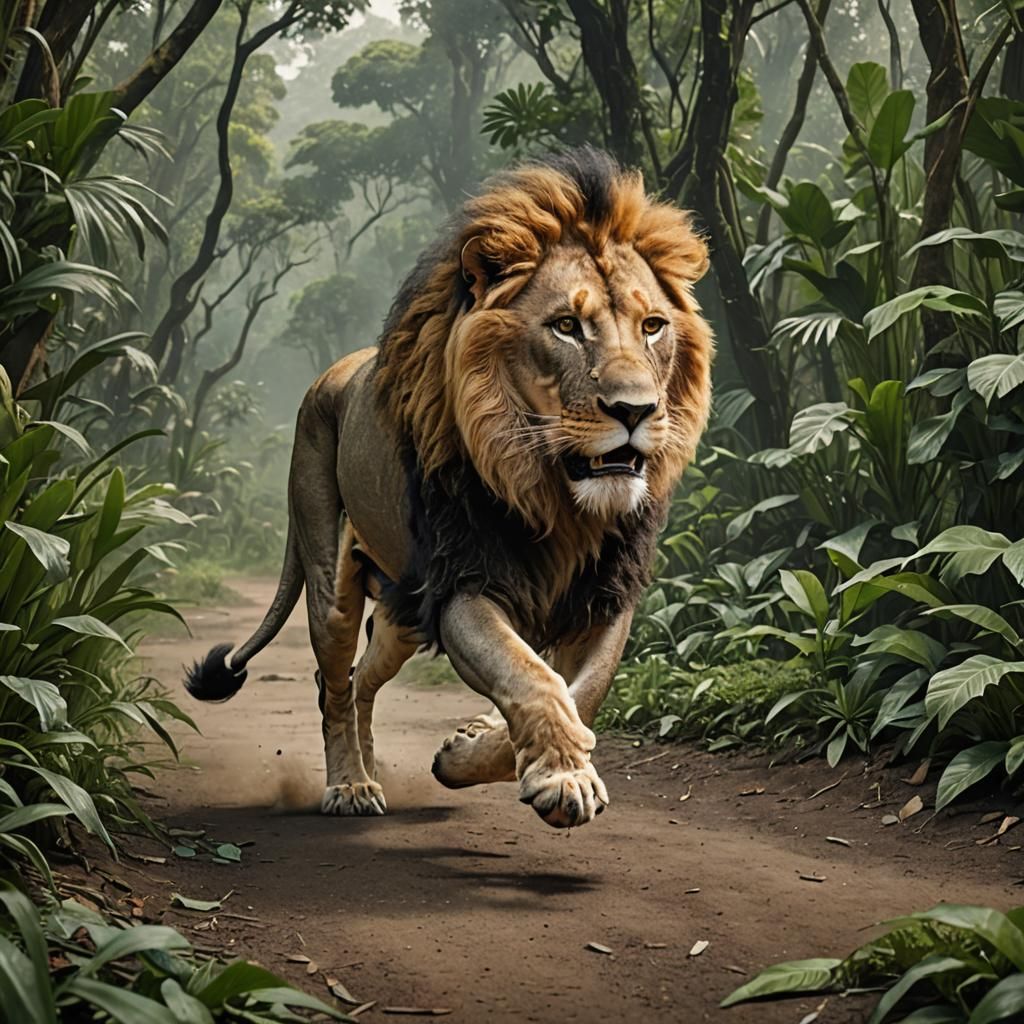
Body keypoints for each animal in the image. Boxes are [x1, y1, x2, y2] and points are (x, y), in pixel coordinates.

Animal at [185, 148, 713, 829]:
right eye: (567, 326)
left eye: (652, 326)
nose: (636, 409)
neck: (555, 498)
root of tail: (328, 377)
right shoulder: (465, 581)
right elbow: (529, 674)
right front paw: (562, 778)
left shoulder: (606, 592)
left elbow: (583, 692)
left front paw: (470, 748)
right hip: (333, 582)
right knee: (333, 684)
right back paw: (350, 786)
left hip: (405, 607)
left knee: (360, 679)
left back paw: (374, 770)